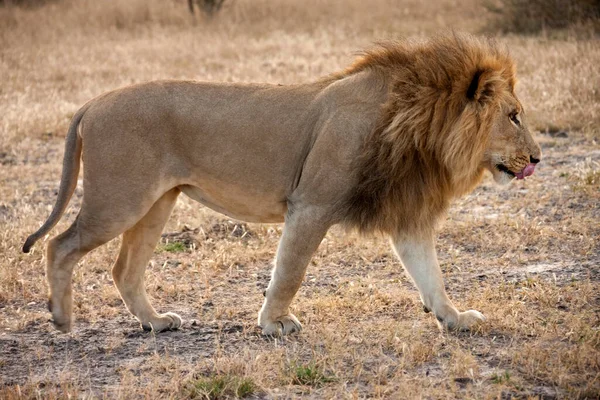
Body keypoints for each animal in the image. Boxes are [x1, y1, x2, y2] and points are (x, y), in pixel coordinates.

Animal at [23, 33, 540, 334]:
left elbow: (431, 275)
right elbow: (290, 271)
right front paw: (275, 324)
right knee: (58, 246)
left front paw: (455, 319)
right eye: (514, 116)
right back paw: (62, 319)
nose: (537, 158)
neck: (416, 125)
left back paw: (157, 322)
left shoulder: (406, 216)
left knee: (123, 270)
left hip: (156, 205)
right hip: (120, 200)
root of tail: (93, 101)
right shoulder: (311, 204)